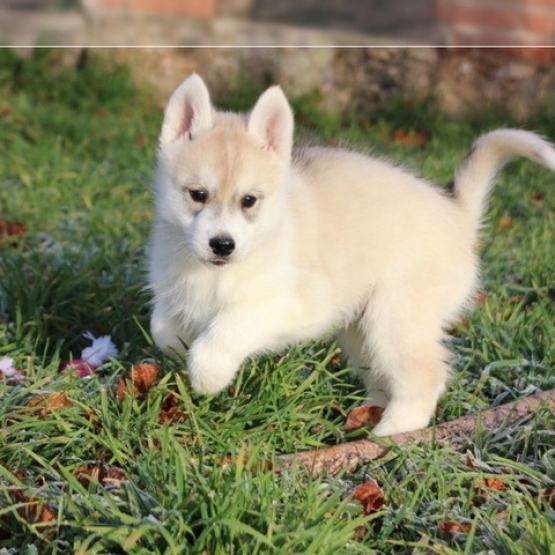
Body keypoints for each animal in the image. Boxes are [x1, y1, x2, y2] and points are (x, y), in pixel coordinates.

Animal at [148, 75, 555, 438]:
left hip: (393, 321)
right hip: (362, 332)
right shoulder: (174, 296)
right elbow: (162, 328)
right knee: (384, 378)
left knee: (424, 377)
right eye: (198, 195)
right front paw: (180, 349)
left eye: (249, 200)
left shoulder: (295, 306)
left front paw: (208, 374)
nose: (222, 245)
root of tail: (457, 212)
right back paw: (364, 416)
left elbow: (230, 325)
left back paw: (389, 435)